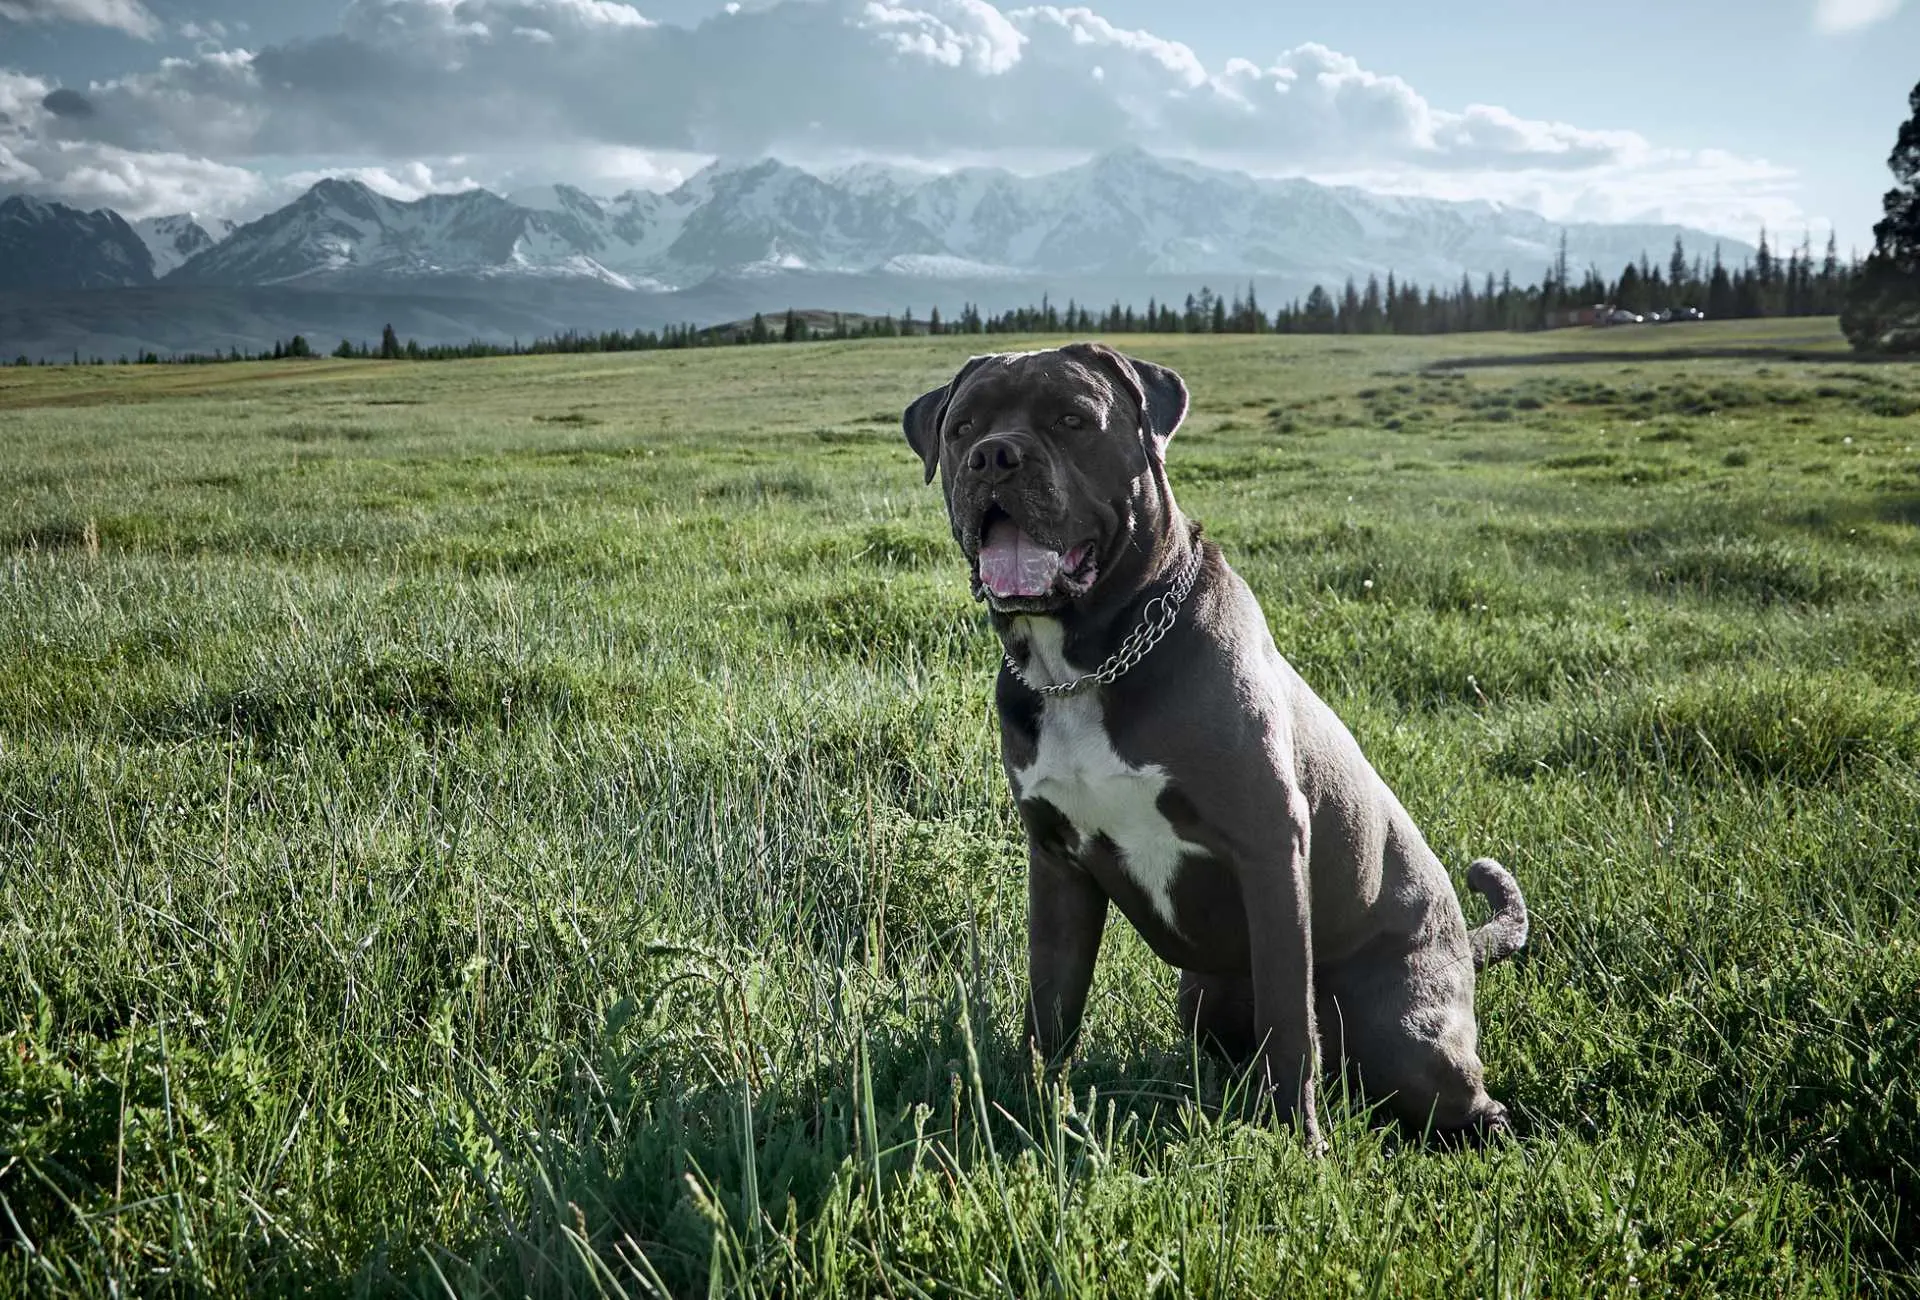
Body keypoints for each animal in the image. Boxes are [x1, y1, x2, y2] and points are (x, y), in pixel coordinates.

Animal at [898, 339, 1528, 1144]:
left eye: (1073, 418)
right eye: (963, 427)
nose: (994, 456)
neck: (1091, 661)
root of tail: (1464, 951)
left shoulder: (1269, 843)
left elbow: (1289, 1018)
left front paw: (1300, 1143)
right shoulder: (1058, 863)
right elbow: (1050, 1007)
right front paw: (1029, 1110)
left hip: (1408, 1037)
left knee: (1460, 1098)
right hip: (1200, 995)